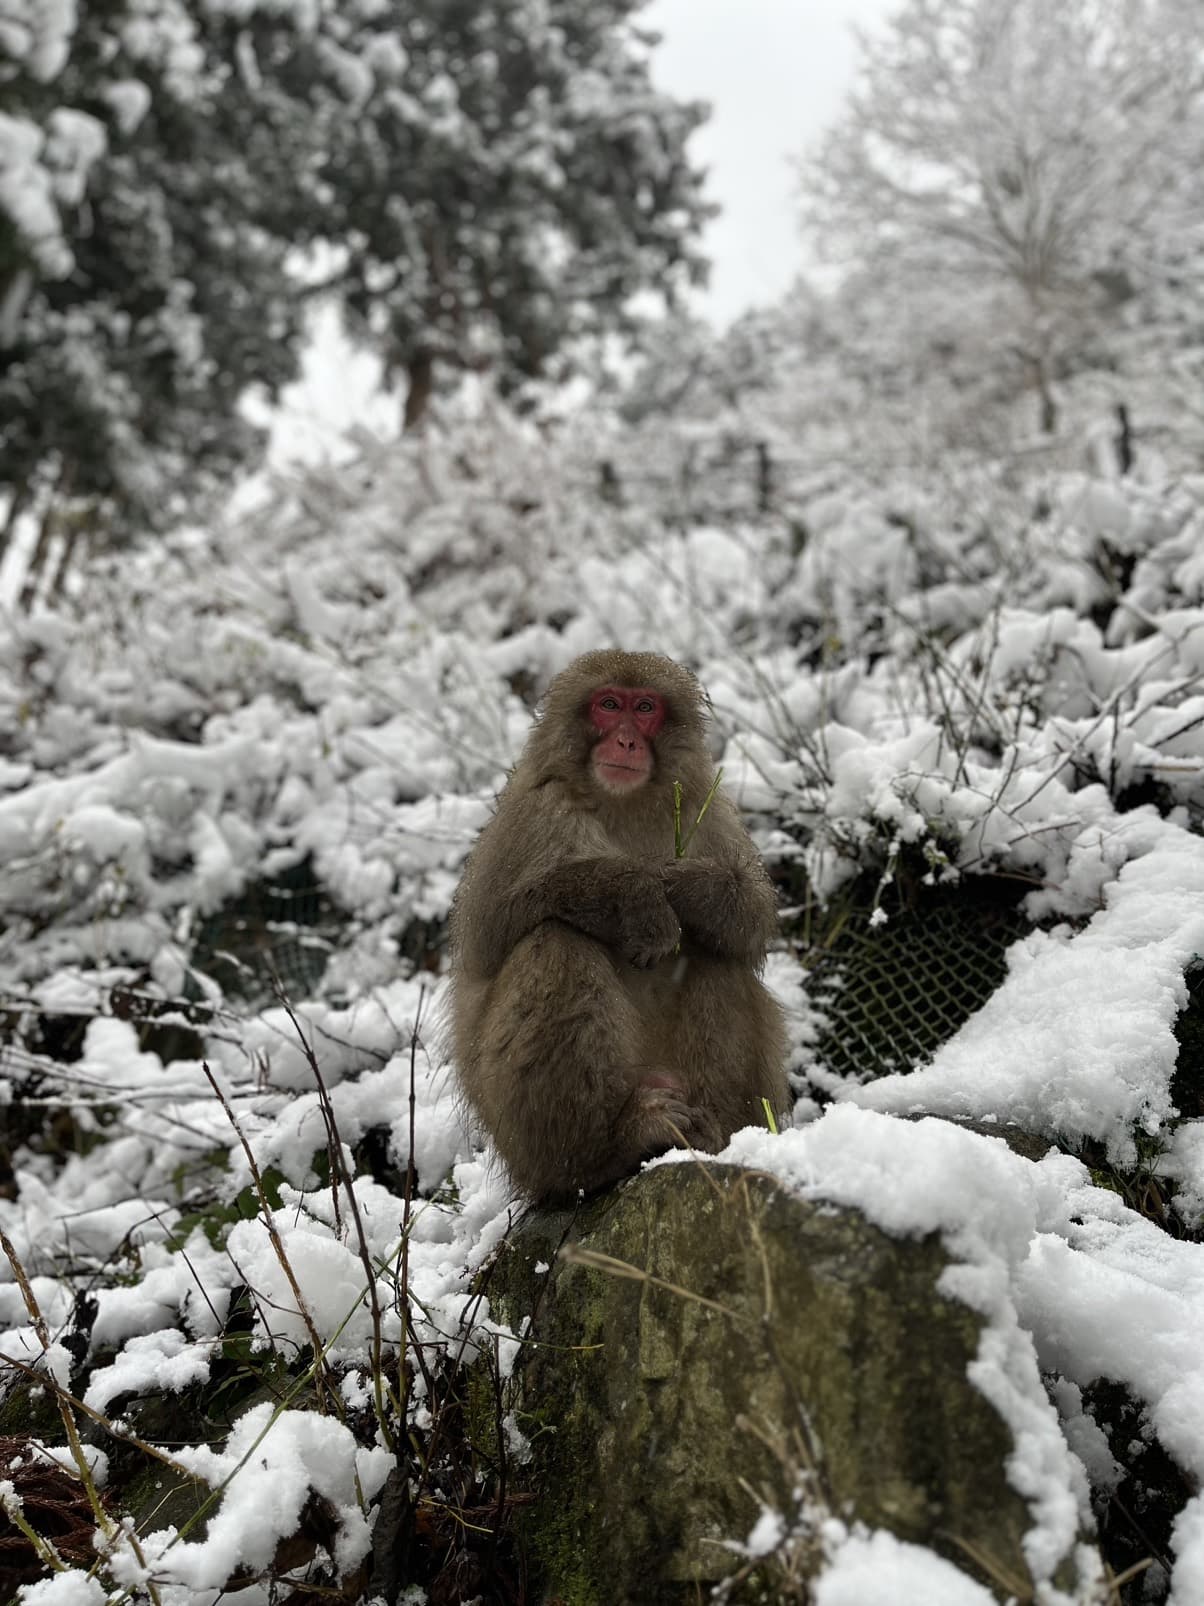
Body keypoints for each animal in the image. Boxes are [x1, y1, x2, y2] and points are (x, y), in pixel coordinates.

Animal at [446, 649, 789, 1203]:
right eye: (609, 705)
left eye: (644, 708)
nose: (626, 740)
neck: (621, 801)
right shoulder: (536, 811)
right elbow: (492, 930)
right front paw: (638, 897)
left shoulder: (704, 805)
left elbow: (752, 919)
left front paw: (687, 887)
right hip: (513, 1132)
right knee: (556, 939)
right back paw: (607, 1148)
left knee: (715, 951)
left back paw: (708, 1133)